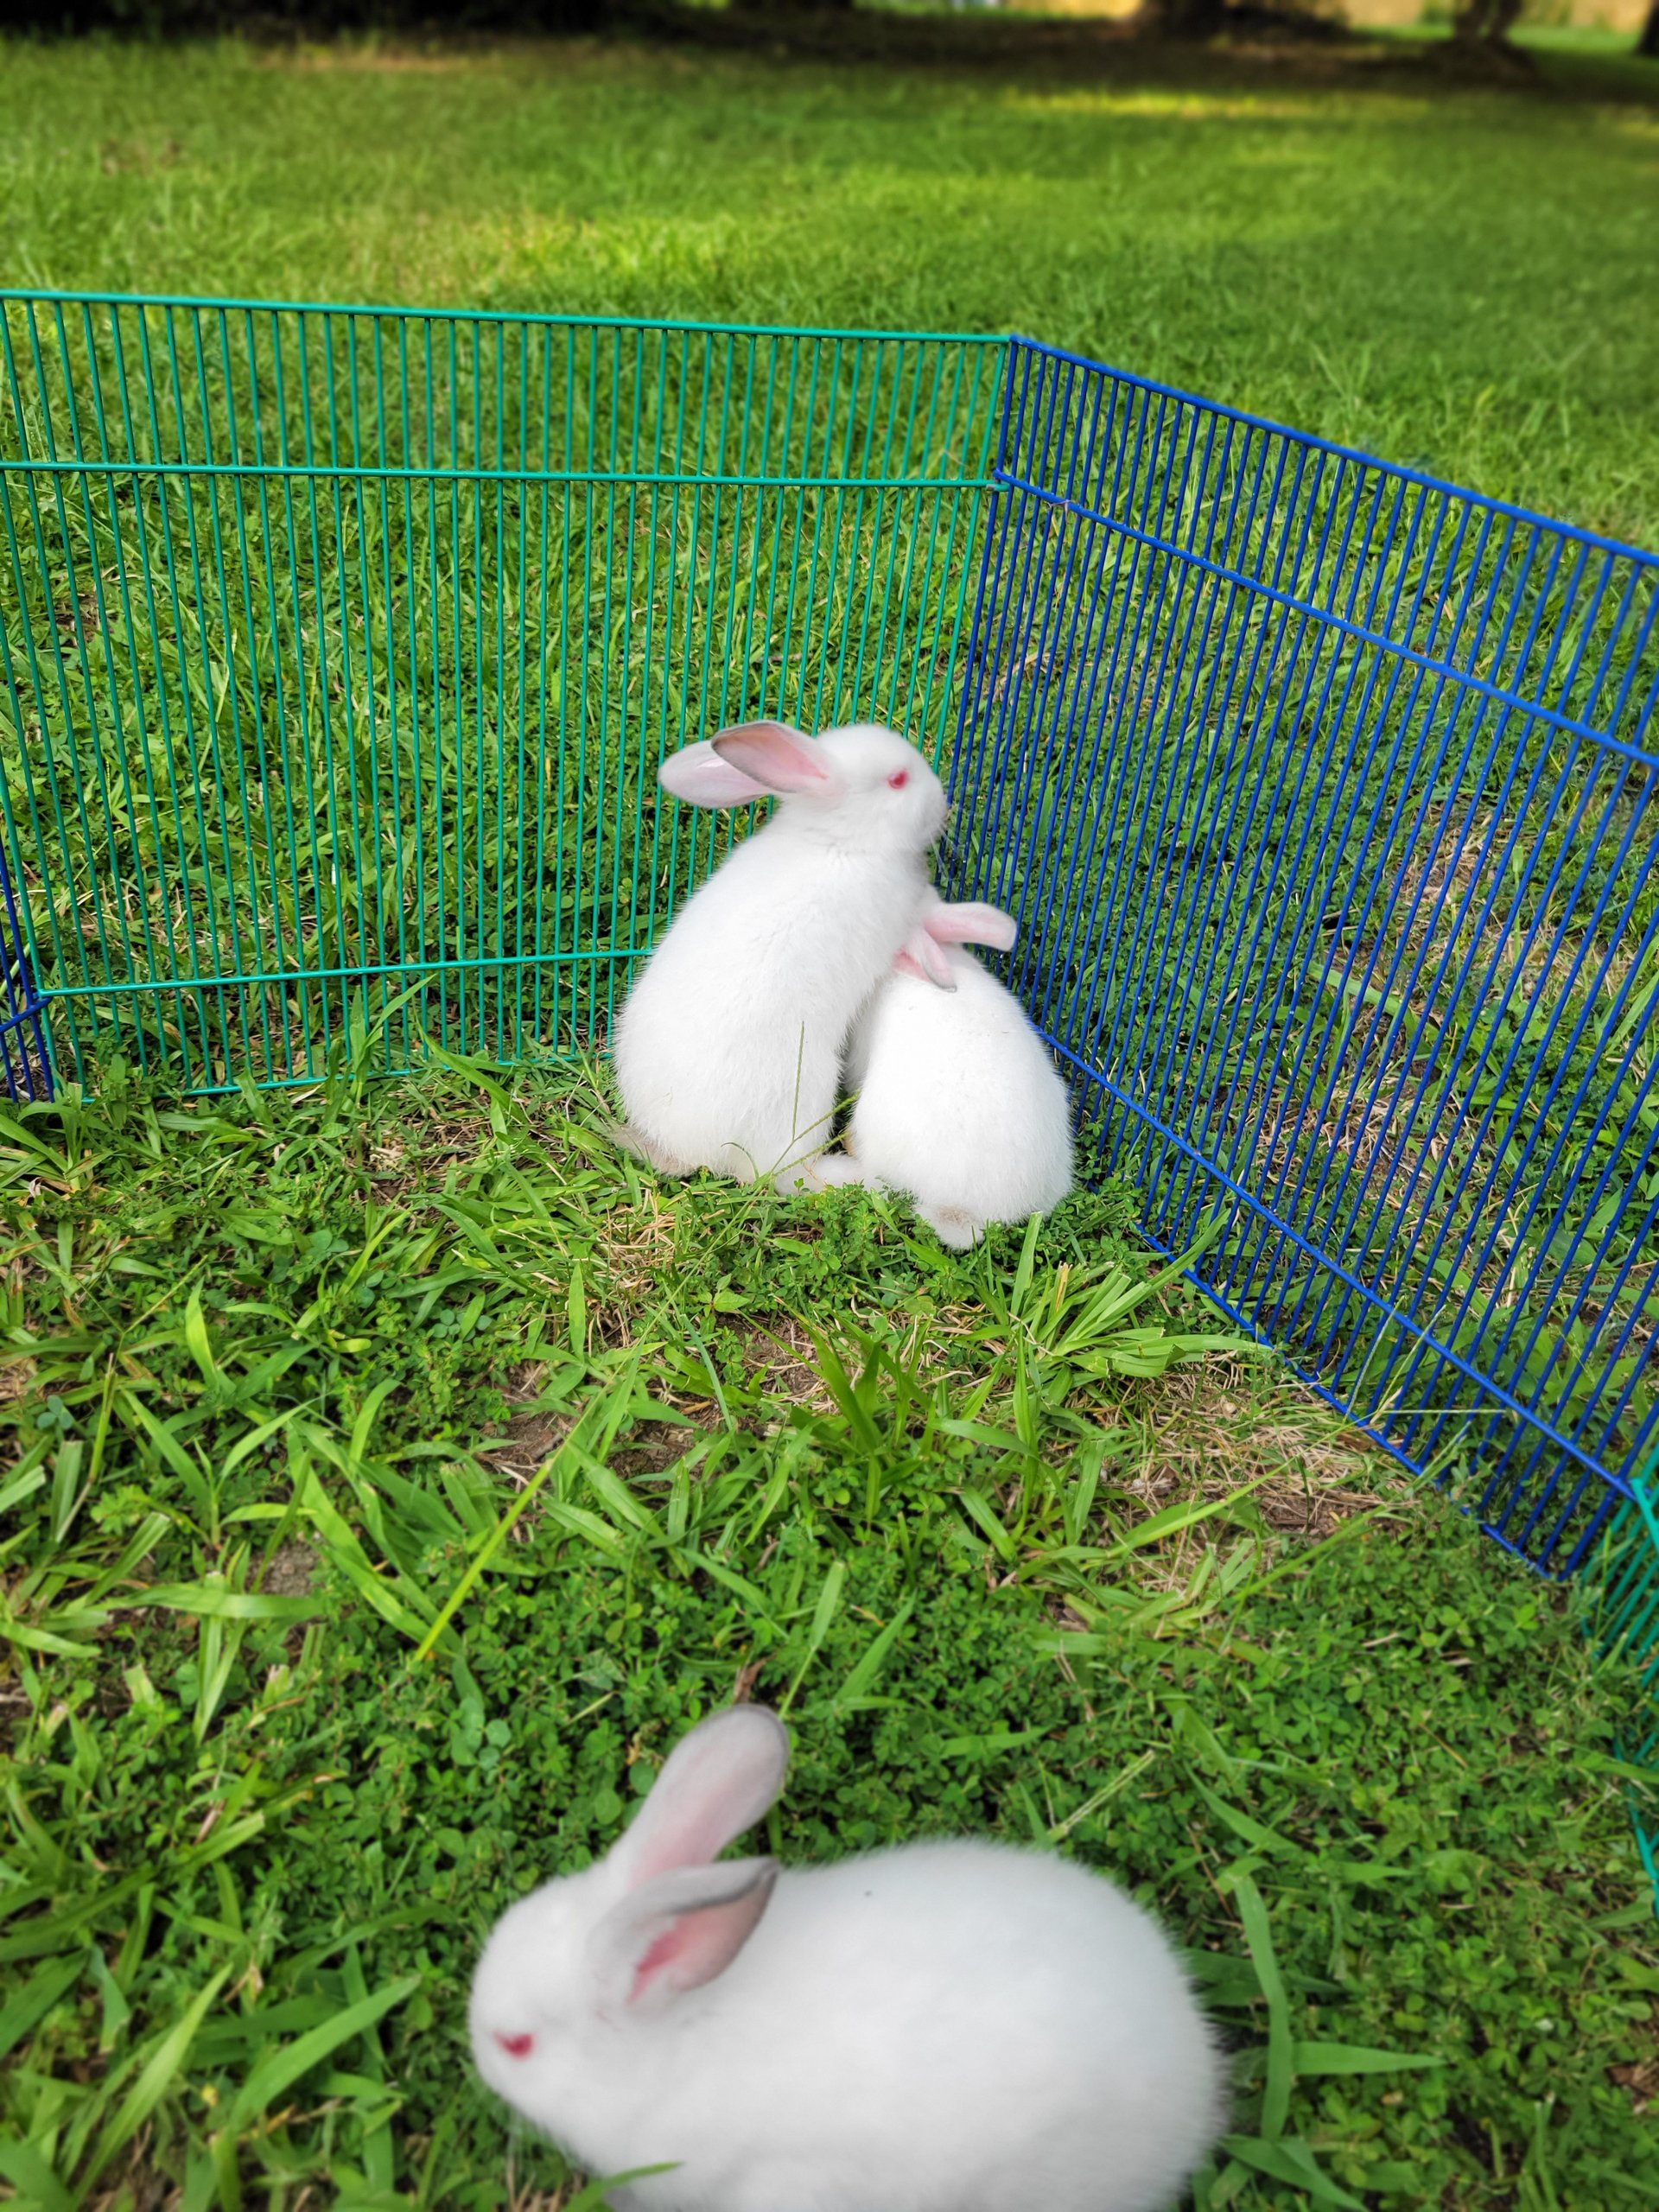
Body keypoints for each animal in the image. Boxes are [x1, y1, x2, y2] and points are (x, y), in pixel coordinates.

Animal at [611, 721, 948, 1190]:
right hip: (808, 1092)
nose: (943, 801)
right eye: (898, 780)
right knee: (780, 1176)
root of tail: (687, 1148)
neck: (840, 842)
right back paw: (852, 1175)